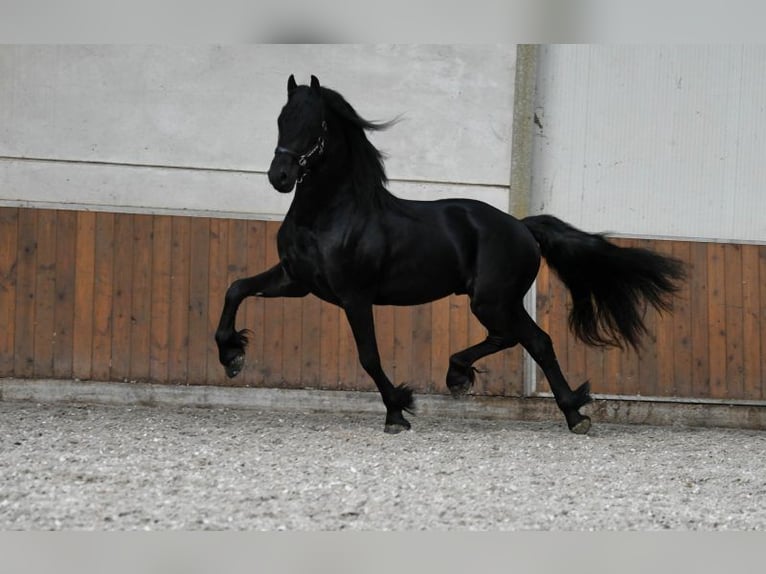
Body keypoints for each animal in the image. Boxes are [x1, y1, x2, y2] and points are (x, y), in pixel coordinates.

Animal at [215, 74, 685, 434]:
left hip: (492, 300)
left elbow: (369, 356)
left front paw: (397, 411)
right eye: (281, 119)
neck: (329, 215)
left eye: (318, 125)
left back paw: (557, 409)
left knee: (527, 339)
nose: (280, 176)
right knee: (525, 339)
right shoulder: (296, 281)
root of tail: (522, 227)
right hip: (499, 301)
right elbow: (235, 287)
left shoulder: (354, 296)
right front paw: (232, 356)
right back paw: (502, 389)